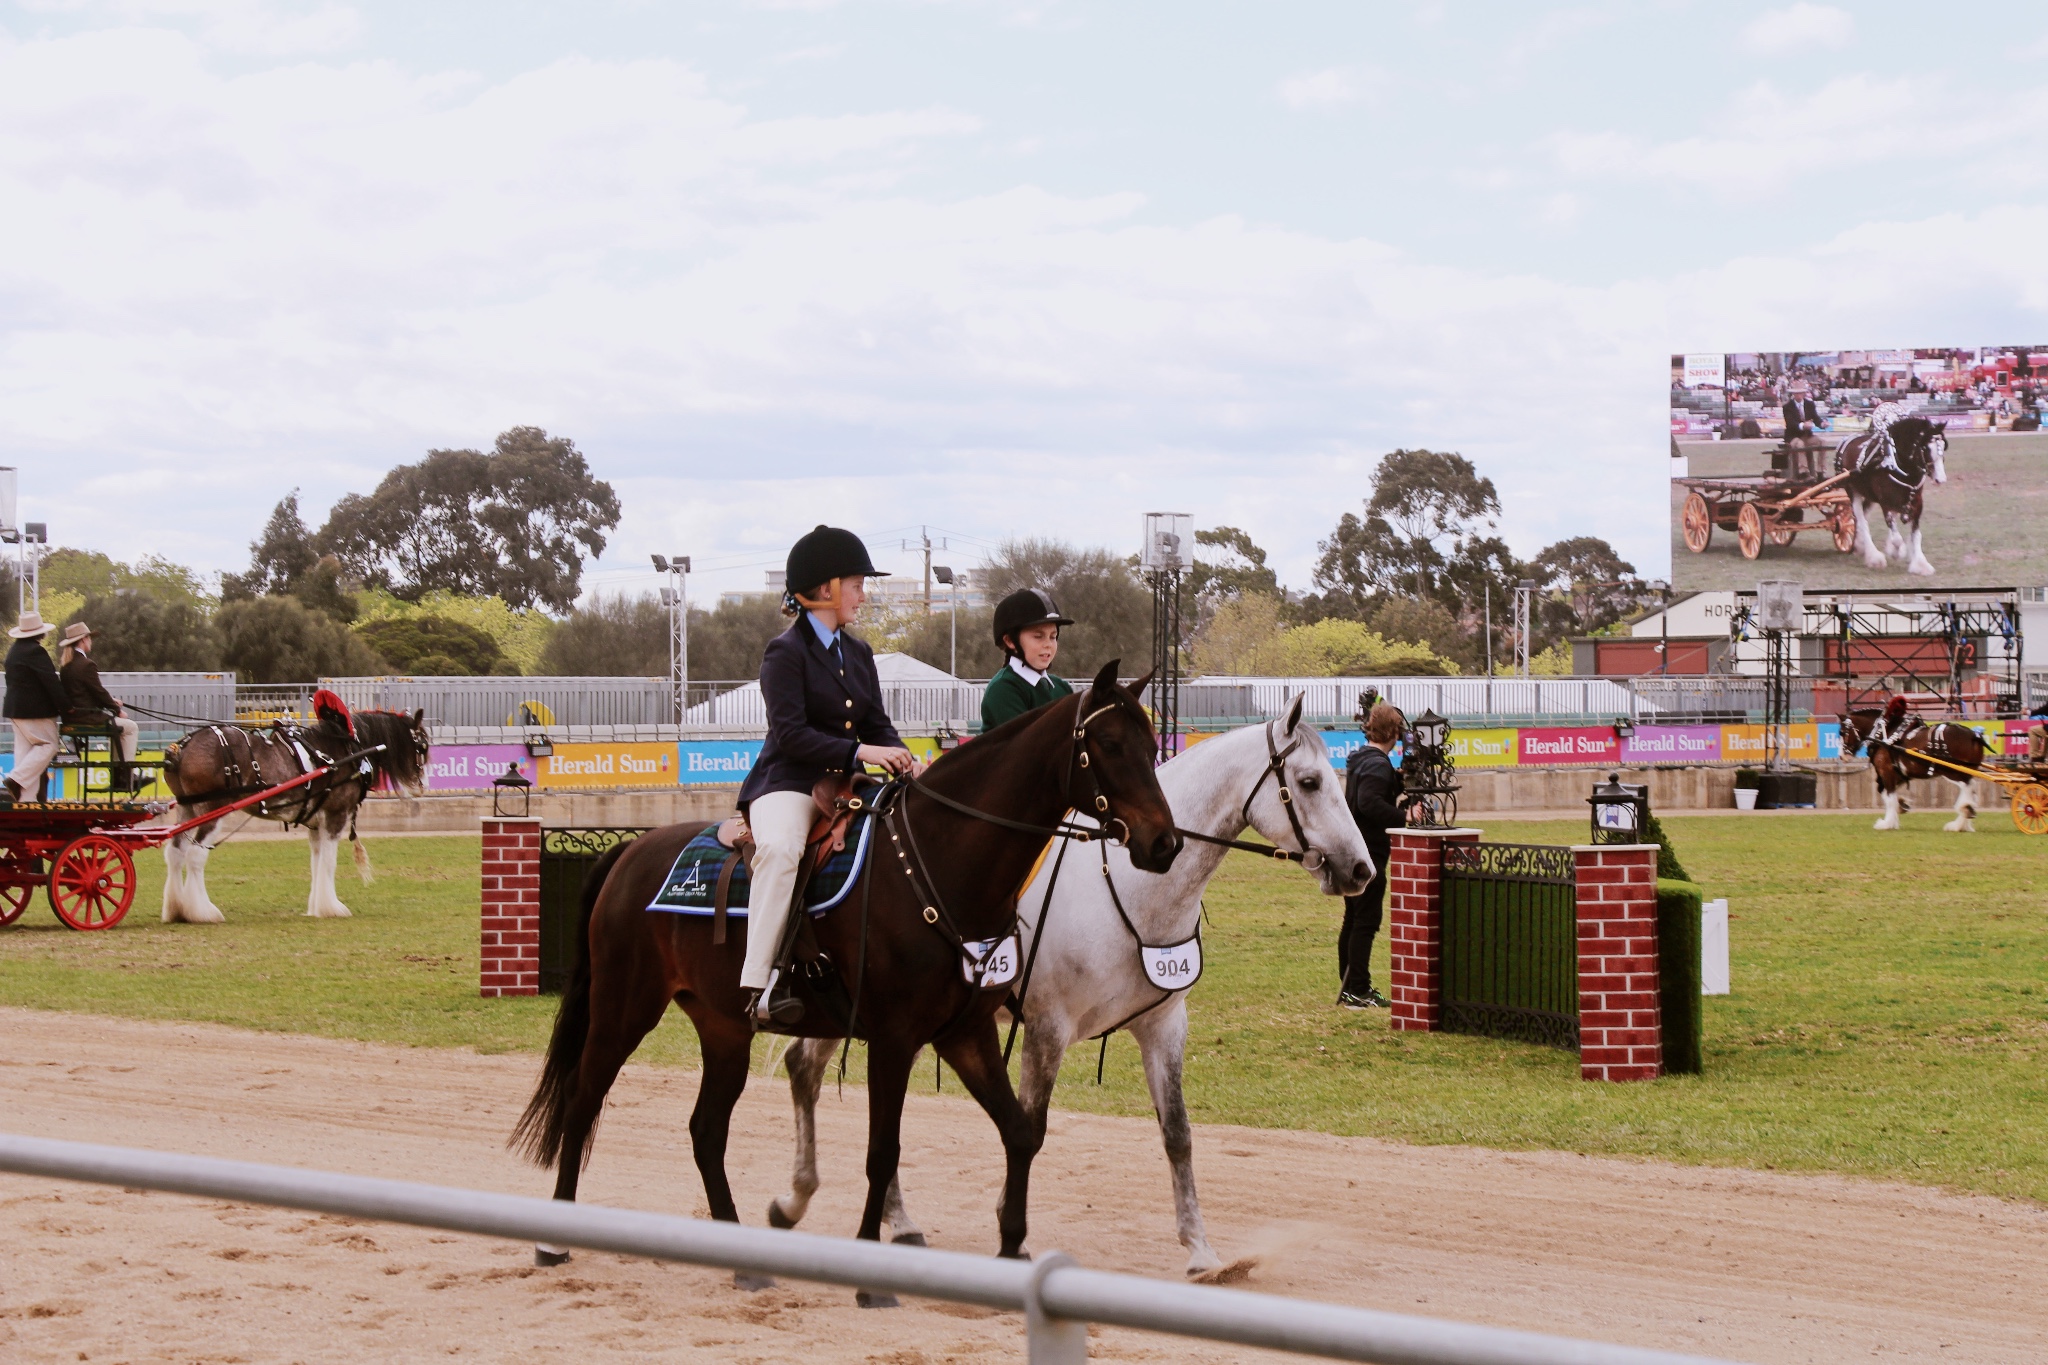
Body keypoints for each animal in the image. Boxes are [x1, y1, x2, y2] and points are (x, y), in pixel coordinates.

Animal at [160, 699, 432, 925]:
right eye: (422, 745)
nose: (423, 785)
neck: (346, 750)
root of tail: (182, 748)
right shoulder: (336, 815)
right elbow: (330, 862)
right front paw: (332, 907)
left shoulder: (316, 822)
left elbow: (317, 862)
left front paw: (317, 906)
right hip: (212, 811)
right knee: (195, 855)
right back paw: (202, 912)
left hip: (187, 808)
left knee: (175, 853)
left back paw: (176, 909)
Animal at [516, 663, 1187, 1293]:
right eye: (1107, 743)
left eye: (1152, 743)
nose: (1164, 844)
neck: (937, 860)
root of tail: (630, 853)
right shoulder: (893, 1039)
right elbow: (882, 1151)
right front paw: (873, 1264)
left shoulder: (964, 1033)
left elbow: (1020, 1134)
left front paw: (1010, 1246)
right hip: (623, 1010)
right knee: (582, 1102)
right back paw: (553, 1240)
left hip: (724, 1029)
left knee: (706, 1131)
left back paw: (742, 1259)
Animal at [1843, 411, 1949, 573]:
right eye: (1925, 448)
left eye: (1943, 446)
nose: (1940, 479)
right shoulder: (1885, 503)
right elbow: (1897, 538)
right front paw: (1898, 552)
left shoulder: (1917, 503)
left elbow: (1916, 535)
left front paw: (1920, 563)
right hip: (1853, 491)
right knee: (1861, 520)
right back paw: (1873, 555)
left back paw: (1860, 545)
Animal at [1843, 703, 1982, 834]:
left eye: (1842, 732)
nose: (1843, 755)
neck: (1885, 734)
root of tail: (1973, 735)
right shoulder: (1898, 774)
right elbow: (1886, 793)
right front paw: (1901, 806)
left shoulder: (1886, 771)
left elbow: (1889, 797)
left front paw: (1887, 823)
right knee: (1971, 788)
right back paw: (1963, 822)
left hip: (1952, 771)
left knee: (1967, 787)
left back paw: (1963, 813)